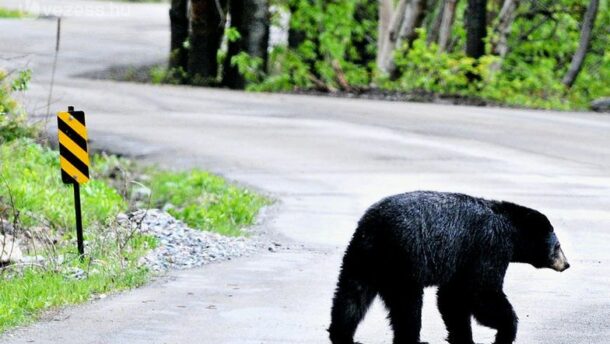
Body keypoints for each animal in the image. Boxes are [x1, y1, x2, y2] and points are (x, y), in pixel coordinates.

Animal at [328, 191, 568, 344]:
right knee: (407, 304)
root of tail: (373, 227)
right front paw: (506, 331)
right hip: (405, 258)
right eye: (558, 246)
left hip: (363, 258)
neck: (511, 228)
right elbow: (482, 292)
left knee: (351, 294)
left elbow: (453, 297)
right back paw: (412, 339)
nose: (566, 264)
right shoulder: (489, 246)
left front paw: (463, 336)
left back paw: (340, 333)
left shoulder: (462, 259)